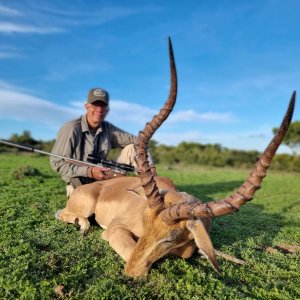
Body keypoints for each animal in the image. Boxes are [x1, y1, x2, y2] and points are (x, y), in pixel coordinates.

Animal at [56, 38, 296, 278]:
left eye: (170, 237)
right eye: (144, 221)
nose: (131, 271)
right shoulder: (115, 230)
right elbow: (131, 249)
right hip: (85, 207)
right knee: (65, 213)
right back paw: (82, 225)